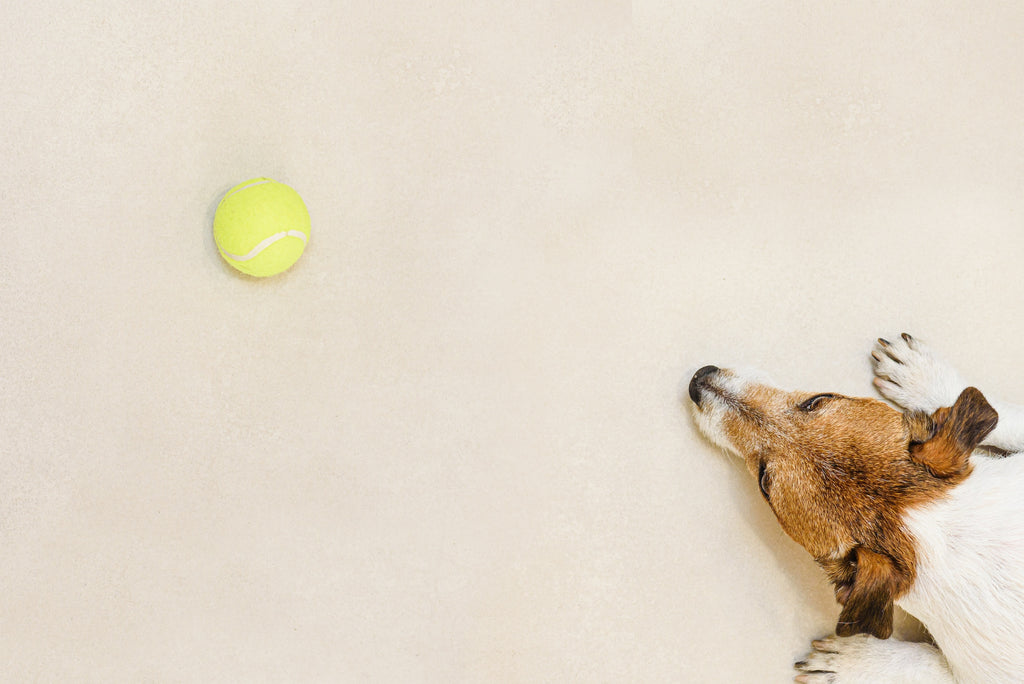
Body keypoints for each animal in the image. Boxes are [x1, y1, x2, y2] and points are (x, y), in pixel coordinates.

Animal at [684, 335, 1024, 684]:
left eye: (764, 482)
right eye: (817, 400)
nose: (699, 378)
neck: (951, 532)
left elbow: (925, 666)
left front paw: (857, 662)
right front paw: (924, 378)